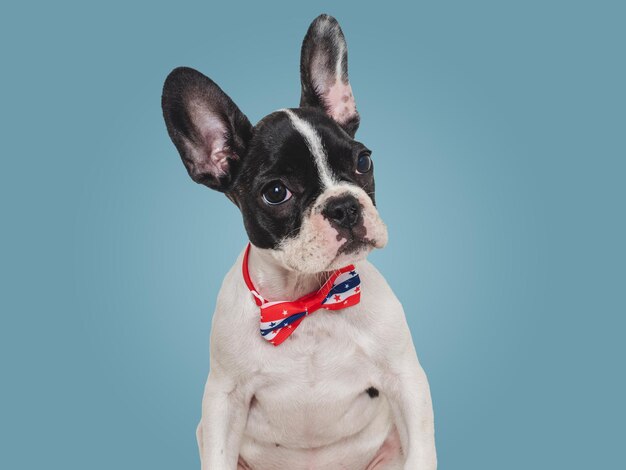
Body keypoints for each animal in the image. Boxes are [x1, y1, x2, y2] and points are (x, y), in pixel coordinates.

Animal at [161, 13, 434, 470]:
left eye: (363, 161)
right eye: (276, 193)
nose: (344, 206)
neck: (307, 300)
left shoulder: (406, 380)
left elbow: (421, 449)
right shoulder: (222, 401)